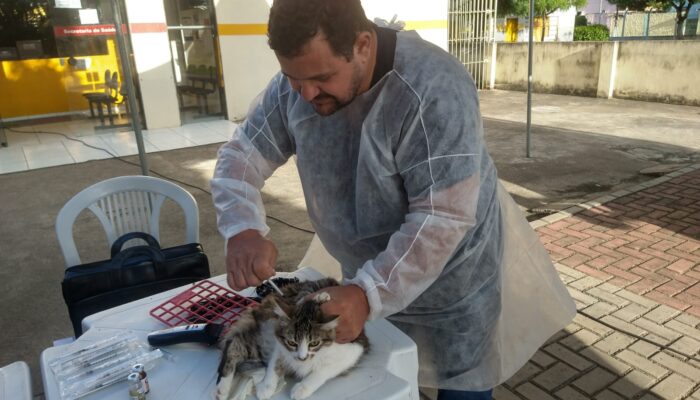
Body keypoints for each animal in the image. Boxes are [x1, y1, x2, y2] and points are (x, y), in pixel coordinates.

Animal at [216, 278, 372, 400]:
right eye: (292, 342)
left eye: (314, 343)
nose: (302, 358)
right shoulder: (280, 342)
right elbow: (275, 364)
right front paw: (266, 387)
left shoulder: (353, 349)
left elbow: (322, 371)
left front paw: (302, 388)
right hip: (262, 334)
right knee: (233, 346)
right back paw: (221, 390)